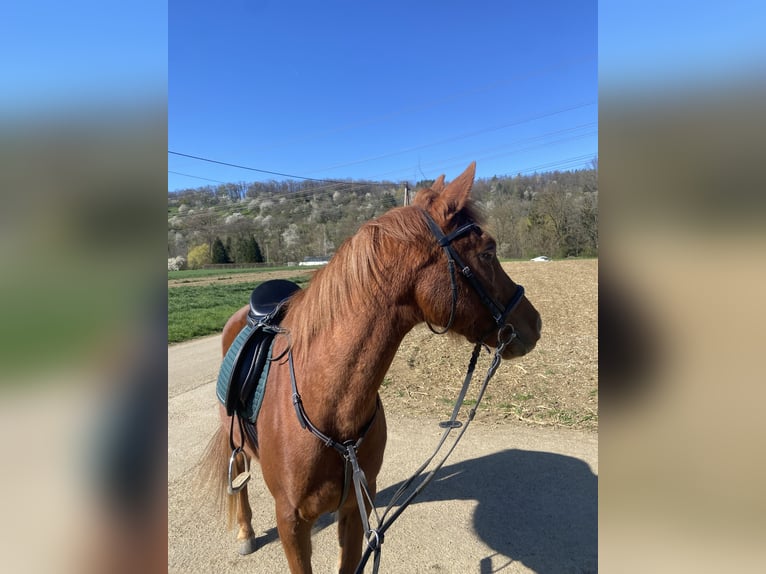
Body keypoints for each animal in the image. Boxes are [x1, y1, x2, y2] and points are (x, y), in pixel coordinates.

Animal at [200, 162, 542, 573]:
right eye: (488, 252)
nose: (534, 323)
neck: (328, 408)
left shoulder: (354, 511)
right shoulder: (291, 524)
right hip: (232, 434)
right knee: (239, 475)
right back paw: (245, 532)